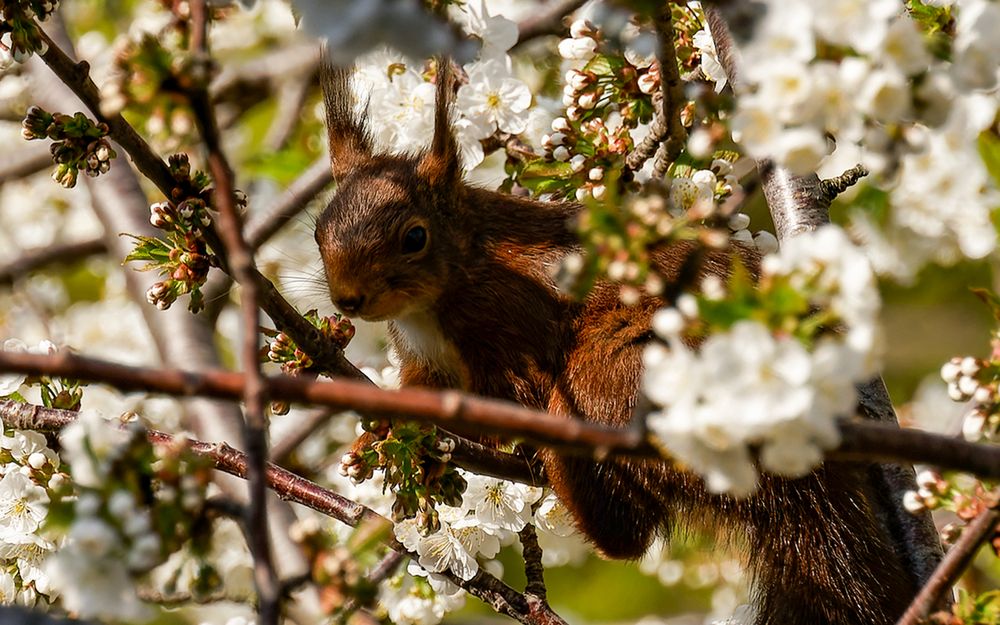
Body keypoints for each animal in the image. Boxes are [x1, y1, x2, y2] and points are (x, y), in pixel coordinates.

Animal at [314, 54, 920, 624]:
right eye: (319, 230)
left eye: (414, 237)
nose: (348, 300)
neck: (453, 278)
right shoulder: (423, 359)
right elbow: (417, 389)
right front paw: (376, 434)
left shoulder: (515, 332)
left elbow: (497, 407)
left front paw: (439, 439)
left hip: (622, 376)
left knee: (627, 533)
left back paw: (557, 462)